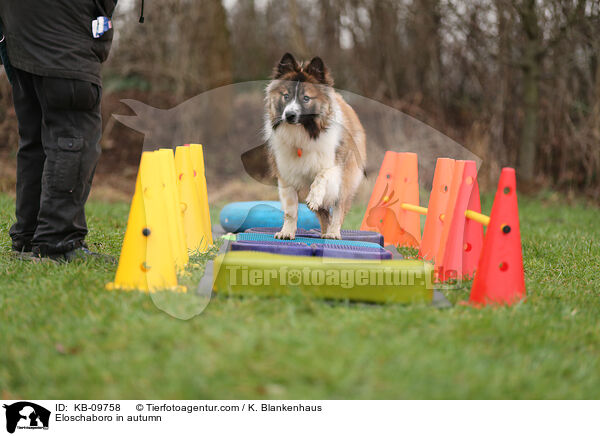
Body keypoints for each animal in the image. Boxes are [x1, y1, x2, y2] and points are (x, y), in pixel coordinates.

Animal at [266, 53, 368, 242]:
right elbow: (290, 210)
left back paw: (333, 233)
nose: (289, 115)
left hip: (346, 180)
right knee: (324, 214)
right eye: (286, 96)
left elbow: (322, 176)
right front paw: (287, 232)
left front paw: (314, 198)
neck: (303, 132)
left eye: (306, 98)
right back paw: (324, 232)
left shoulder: (333, 167)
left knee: (338, 209)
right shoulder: (286, 176)